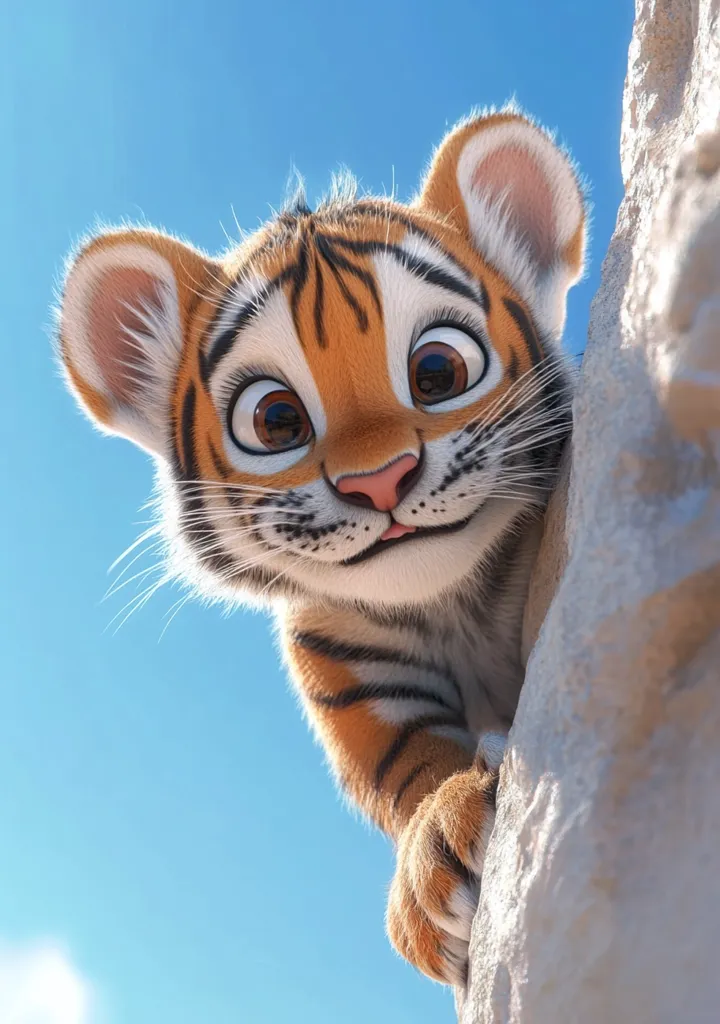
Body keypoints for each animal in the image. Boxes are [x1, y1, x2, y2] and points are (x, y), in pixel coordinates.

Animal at [57, 107, 585, 986]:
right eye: (277, 421)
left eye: (436, 371)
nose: (381, 480)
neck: (446, 602)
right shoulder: (356, 680)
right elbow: (406, 766)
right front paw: (434, 857)